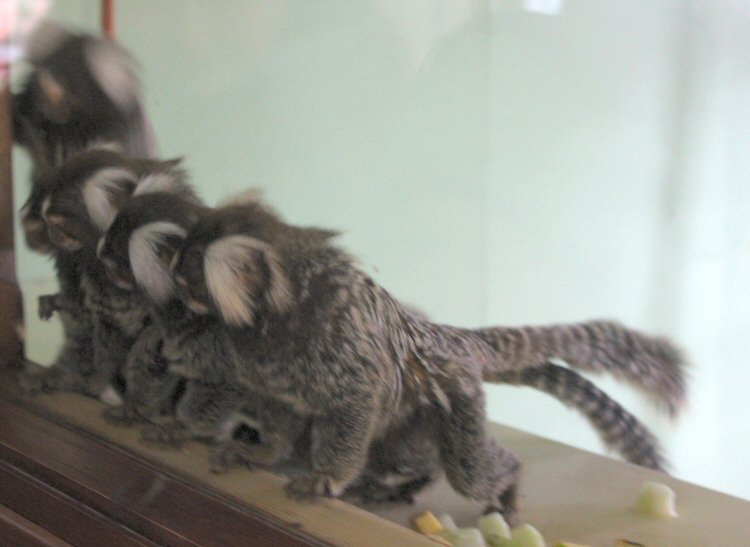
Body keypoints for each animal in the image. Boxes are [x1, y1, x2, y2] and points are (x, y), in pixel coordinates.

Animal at [169, 196, 687, 521]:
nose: (172, 271)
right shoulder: (274, 375)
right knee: (403, 452)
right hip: (415, 415)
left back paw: (508, 482)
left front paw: (325, 478)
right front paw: (258, 451)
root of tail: (446, 341)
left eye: (190, 269)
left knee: (470, 471)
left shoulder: (338, 355)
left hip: (461, 398)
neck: (277, 311)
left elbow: (354, 405)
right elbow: (284, 413)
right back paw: (403, 485)